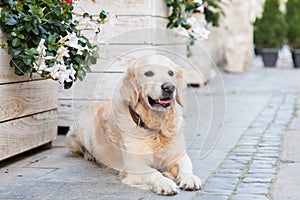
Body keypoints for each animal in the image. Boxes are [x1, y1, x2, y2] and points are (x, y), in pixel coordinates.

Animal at [66, 54, 202, 195]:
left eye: (171, 73)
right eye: (148, 73)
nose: (169, 87)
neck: (156, 126)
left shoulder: (177, 155)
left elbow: (186, 164)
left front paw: (189, 178)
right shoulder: (133, 165)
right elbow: (153, 172)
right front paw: (164, 183)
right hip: (81, 131)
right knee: (79, 149)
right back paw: (89, 155)